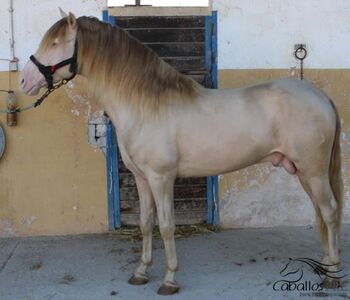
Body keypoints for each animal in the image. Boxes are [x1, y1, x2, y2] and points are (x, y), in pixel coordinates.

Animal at [17, 10, 344, 294]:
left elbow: (166, 226)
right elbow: (145, 224)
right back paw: (325, 264)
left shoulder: (162, 178)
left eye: (56, 43)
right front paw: (141, 272)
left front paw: (169, 280)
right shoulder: (142, 179)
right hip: (303, 172)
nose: (24, 81)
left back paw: (332, 275)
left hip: (313, 171)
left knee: (329, 211)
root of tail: (321, 96)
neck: (146, 104)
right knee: (320, 211)